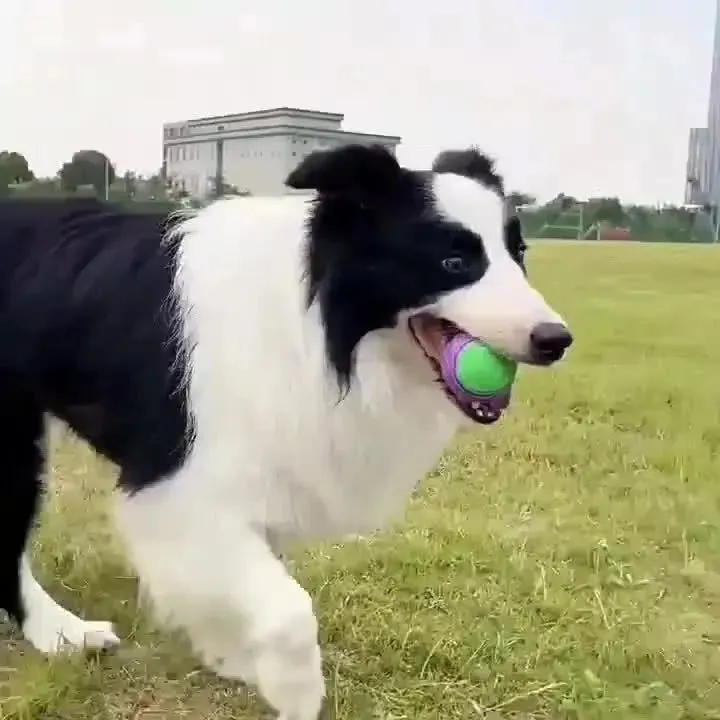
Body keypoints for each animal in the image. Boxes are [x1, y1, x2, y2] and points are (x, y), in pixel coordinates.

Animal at [1, 146, 572, 720]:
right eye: (453, 263)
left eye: (518, 253)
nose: (556, 340)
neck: (318, 323)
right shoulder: (177, 489)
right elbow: (289, 609)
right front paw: (295, 692)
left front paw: (228, 652)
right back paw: (60, 634)